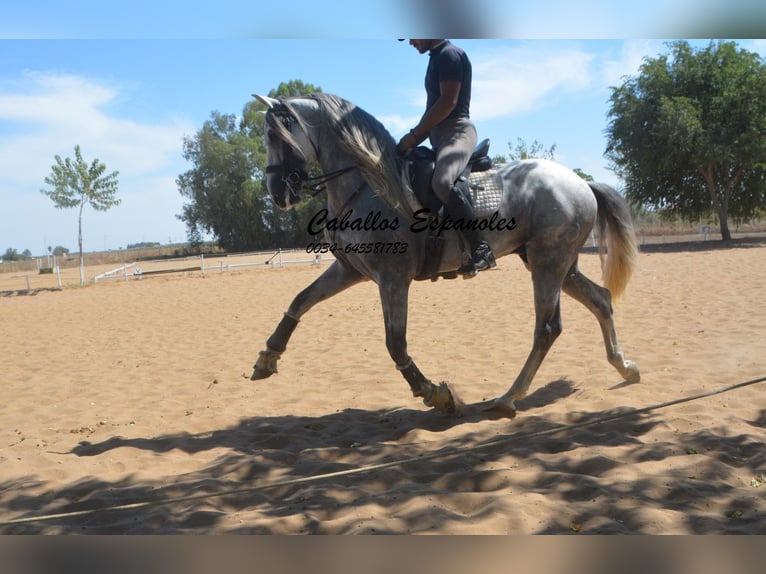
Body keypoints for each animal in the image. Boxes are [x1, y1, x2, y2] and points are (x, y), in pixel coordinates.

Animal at [249, 93, 640, 418]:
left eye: (273, 135)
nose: (277, 193)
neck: (368, 184)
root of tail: (580, 182)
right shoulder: (350, 270)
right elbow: (300, 301)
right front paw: (268, 357)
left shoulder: (393, 279)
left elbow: (395, 344)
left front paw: (436, 394)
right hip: (556, 264)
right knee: (600, 300)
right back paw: (625, 367)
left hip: (548, 262)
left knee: (546, 328)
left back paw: (508, 397)